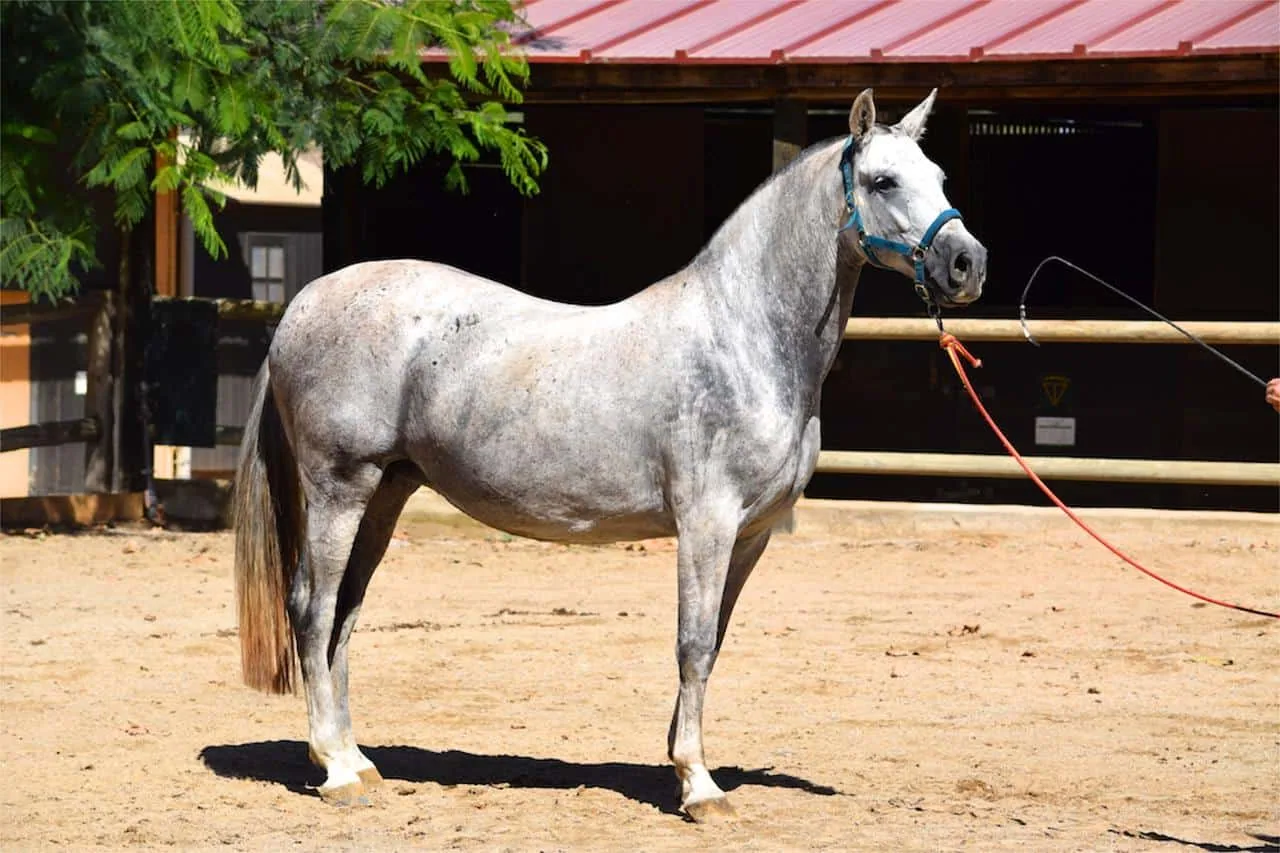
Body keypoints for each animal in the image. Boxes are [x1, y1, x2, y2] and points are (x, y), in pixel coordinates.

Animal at [233, 88, 987, 820]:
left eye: (941, 177)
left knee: (345, 614)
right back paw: (334, 771)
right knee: (312, 608)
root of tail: (302, 305)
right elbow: (691, 642)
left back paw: (357, 759)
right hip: (341, 488)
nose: (967, 263)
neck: (742, 338)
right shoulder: (706, 525)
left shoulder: (751, 535)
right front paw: (699, 786)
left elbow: (712, 642)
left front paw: (682, 763)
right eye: (883, 180)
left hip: (387, 493)